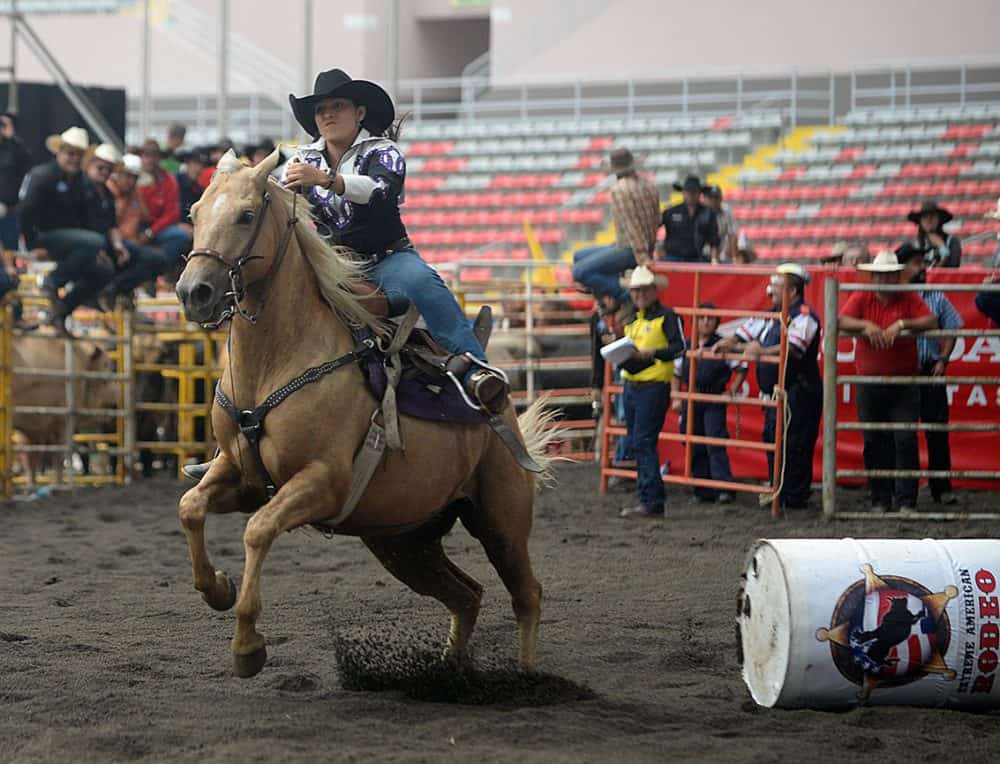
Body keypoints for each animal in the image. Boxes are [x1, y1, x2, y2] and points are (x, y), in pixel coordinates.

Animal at [177, 152, 560, 676]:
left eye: (246, 215)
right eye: (194, 213)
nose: (193, 292)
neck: (276, 361)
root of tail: (504, 415)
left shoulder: (322, 482)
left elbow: (257, 531)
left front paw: (248, 646)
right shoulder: (241, 475)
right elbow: (190, 506)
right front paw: (217, 588)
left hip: (501, 521)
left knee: (527, 596)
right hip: (404, 543)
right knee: (467, 596)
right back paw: (450, 671)